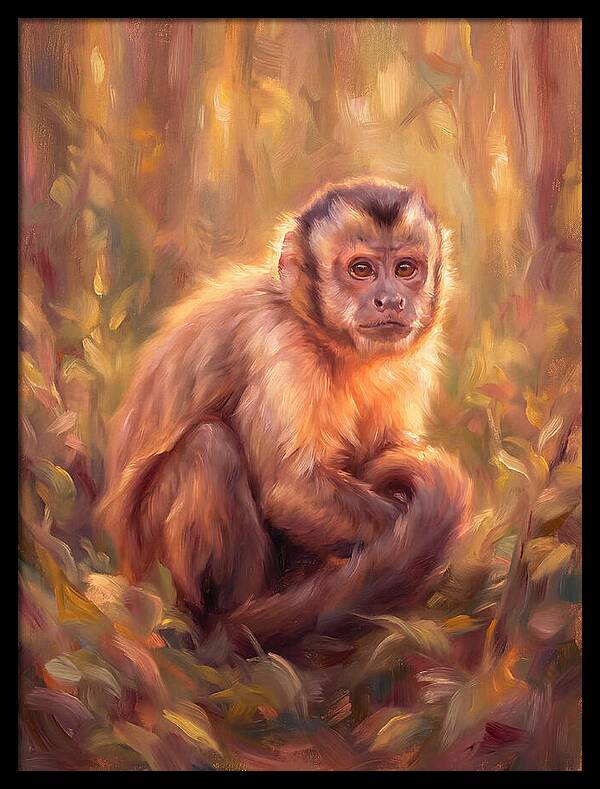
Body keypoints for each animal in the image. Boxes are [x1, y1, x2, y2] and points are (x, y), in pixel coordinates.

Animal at [97, 178, 472, 658]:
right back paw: (231, 621)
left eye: (406, 268)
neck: (327, 340)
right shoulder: (277, 343)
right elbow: (290, 489)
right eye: (362, 270)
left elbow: (384, 451)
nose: (390, 300)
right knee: (210, 447)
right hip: (151, 566)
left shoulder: (410, 360)